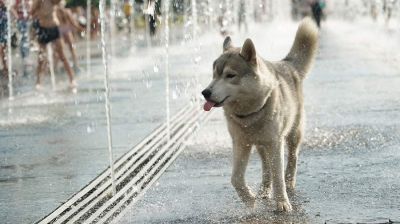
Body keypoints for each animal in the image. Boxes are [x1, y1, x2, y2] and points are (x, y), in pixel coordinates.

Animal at [202, 18, 318, 212]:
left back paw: (289, 181)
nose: (205, 92)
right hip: (260, 145)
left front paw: (282, 202)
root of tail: (287, 64)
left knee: (292, 158)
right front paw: (249, 200)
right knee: (266, 167)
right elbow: (236, 178)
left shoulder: (275, 142)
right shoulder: (241, 143)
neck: (249, 114)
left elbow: (278, 176)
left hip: (293, 133)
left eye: (230, 75)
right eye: (214, 74)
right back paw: (264, 189)